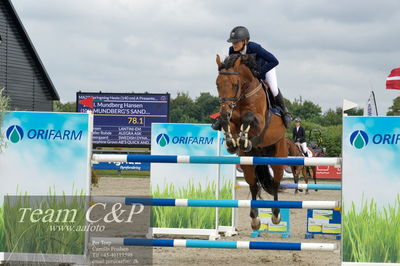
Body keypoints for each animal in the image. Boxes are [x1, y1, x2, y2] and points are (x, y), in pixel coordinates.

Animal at [216, 53, 288, 229]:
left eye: (235, 84)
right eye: (217, 84)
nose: (225, 110)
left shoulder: (260, 122)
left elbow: (248, 118)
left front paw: (243, 138)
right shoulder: (231, 119)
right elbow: (226, 123)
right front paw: (232, 143)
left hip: (278, 157)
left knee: (275, 183)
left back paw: (276, 215)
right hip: (248, 162)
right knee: (254, 185)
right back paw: (255, 219)